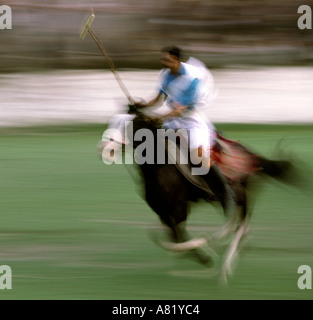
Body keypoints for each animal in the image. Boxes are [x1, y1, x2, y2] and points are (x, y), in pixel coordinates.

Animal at [98, 106, 302, 284]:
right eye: (112, 121)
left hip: (242, 193)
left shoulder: (179, 208)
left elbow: (179, 237)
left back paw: (226, 265)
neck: (159, 168)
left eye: (129, 125)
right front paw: (201, 254)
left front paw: (205, 254)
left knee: (242, 220)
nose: (105, 149)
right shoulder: (162, 210)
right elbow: (175, 236)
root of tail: (251, 154)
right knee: (237, 220)